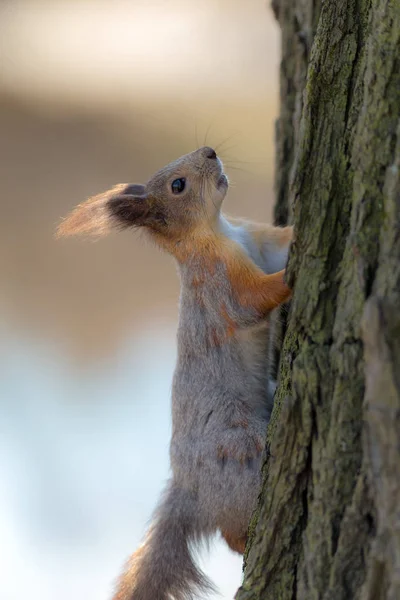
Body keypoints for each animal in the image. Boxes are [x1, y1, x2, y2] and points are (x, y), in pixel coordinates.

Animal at [56, 146, 292, 600]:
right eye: (177, 186)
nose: (210, 152)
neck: (217, 232)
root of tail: (190, 487)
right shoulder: (222, 285)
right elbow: (255, 299)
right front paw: (296, 271)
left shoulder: (255, 241)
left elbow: (278, 245)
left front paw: (298, 231)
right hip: (238, 455)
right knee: (230, 528)